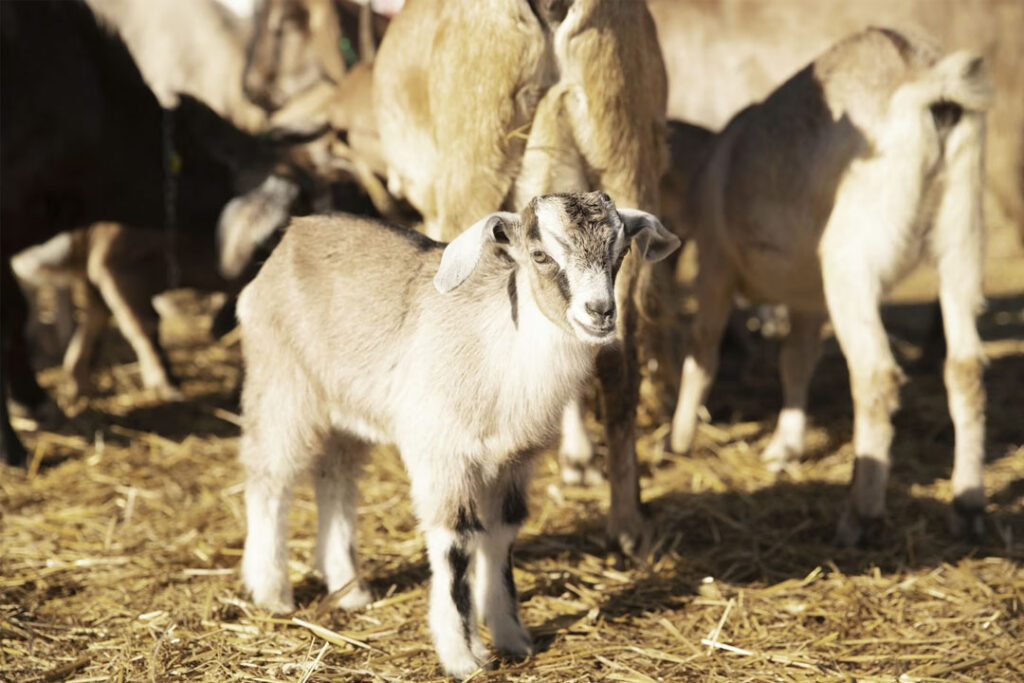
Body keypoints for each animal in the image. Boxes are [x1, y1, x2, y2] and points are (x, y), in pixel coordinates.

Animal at [237, 192, 678, 679]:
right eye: (541, 255)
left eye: (620, 254)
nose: (599, 312)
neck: (503, 351)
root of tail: (292, 235)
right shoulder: (444, 455)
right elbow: (456, 542)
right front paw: (463, 657)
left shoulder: (513, 463)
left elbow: (502, 535)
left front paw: (512, 638)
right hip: (281, 381)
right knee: (270, 478)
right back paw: (272, 592)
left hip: (346, 410)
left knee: (336, 481)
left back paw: (350, 590)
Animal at [666, 28, 992, 545]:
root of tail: (927, 84)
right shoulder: (807, 296)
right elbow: (797, 360)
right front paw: (785, 445)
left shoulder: (716, 264)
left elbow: (703, 350)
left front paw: (678, 439)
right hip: (962, 235)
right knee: (965, 368)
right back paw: (969, 504)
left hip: (853, 256)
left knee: (876, 375)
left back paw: (861, 514)